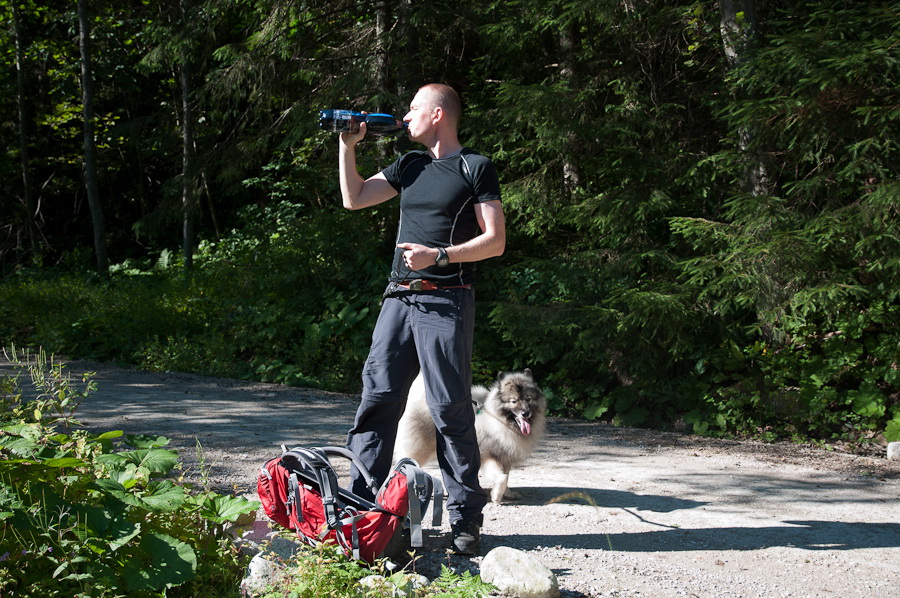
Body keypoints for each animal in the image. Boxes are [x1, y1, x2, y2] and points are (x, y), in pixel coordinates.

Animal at [396, 370, 548, 506]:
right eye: (513, 401)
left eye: (528, 399)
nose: (525, 413)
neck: (496, 420)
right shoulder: (489, 456)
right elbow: (502, 477)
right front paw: (496, 496)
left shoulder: (505, 457)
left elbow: (506, 476)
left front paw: (508, 493)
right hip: (420, 449)